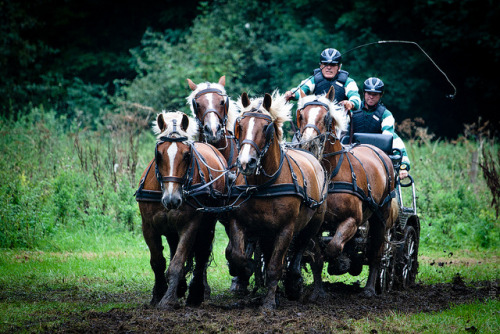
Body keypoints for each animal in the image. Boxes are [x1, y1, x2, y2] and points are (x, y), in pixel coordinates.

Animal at [134, 111, 226, 310]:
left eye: (186, 155)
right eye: (159, 154)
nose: (172, 199)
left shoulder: (190, 226)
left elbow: (177, 261)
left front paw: (168, 299)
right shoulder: (148, 227)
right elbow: (158, 261)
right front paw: (158, 294)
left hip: (208, 224)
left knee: (201, 254)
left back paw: (195, 294)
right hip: (171, 229)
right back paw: (181, 287)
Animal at [226, 90, 328, 310]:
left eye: (267, 127)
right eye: (240, 126)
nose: (246, 163)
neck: (263, 185)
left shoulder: (286, 229)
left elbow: (275, 265)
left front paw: (269, 303)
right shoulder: (239, 222)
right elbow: (237, 254)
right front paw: (246, 270)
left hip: (313, 223)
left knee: (302, 249)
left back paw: (295, 281)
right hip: (266, 232)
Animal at [294, 87, 396, 298]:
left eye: (326, 117)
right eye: (300, 115)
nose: (308, 144)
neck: (330, 173)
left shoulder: (352, 220)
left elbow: (333, 248)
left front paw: (341, 263)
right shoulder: (315, 224)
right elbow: (317, 257)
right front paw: (318, 292)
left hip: (381, 216)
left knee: (376, 252)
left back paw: (369, 289)